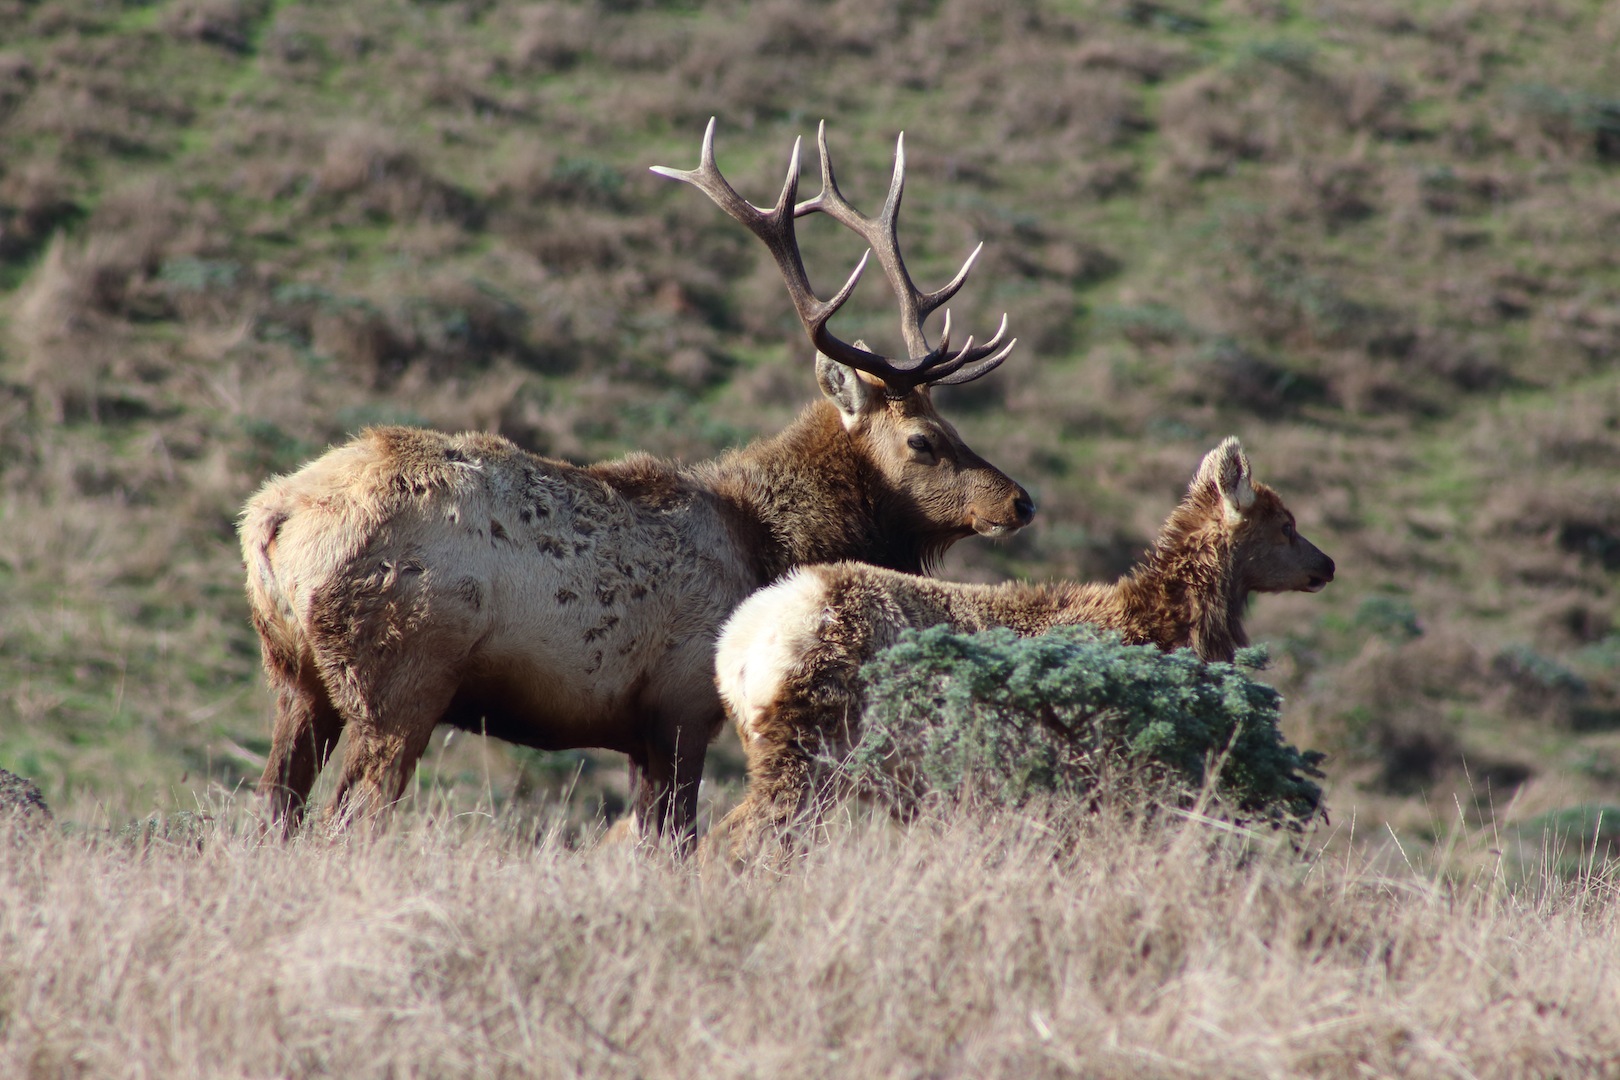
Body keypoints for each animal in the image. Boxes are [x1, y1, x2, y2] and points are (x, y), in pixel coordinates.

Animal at [241, 119, 1035, 845]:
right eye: (924, 439)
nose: (1020, 501)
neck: (768, 545)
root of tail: (269, 523)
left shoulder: (638, 729)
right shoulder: (680, 706)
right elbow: (672, 841)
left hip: (294, 674)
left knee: (276, 805)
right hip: (402, 675)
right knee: (349, 814)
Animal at [707, 437, 1335, 863]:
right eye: (1285, 524)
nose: (1326, 565)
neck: (1166, 628)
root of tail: (735, 649)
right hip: (808, 745)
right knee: (741, 837)